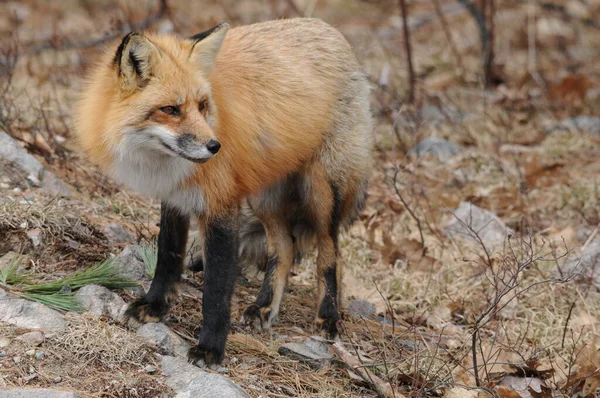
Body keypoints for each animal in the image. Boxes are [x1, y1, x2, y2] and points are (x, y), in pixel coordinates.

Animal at [75, 19, 372, 366]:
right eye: (171, 109)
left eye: (202, 106)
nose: (215, 146)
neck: (163, 164)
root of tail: (330, 30)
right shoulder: (174, 197)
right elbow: (168, 256)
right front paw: (155, 307)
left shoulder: (221, 206)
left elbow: (216, 290)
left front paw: (210, 348)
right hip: (264, 196)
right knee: (284, 248)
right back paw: (264, 306)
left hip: (321, 192)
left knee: (330, 250)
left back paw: (328, 316)